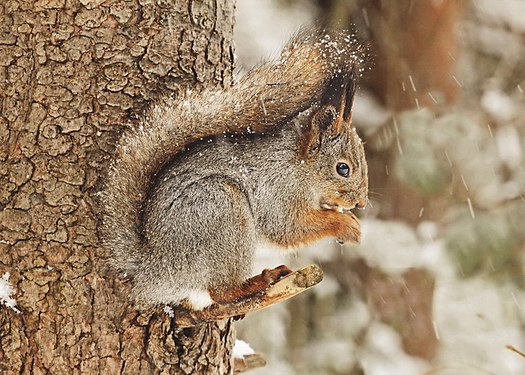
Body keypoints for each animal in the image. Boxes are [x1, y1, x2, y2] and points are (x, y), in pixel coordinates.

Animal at [99, 30, 368, 312]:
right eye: (343, 168)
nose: (361, 203)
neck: (297, 164)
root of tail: (153, 268)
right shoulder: (279, 191)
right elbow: (289, 228)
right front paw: (346, 225)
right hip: (223, 210)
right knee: (220, 292)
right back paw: (258, 282)